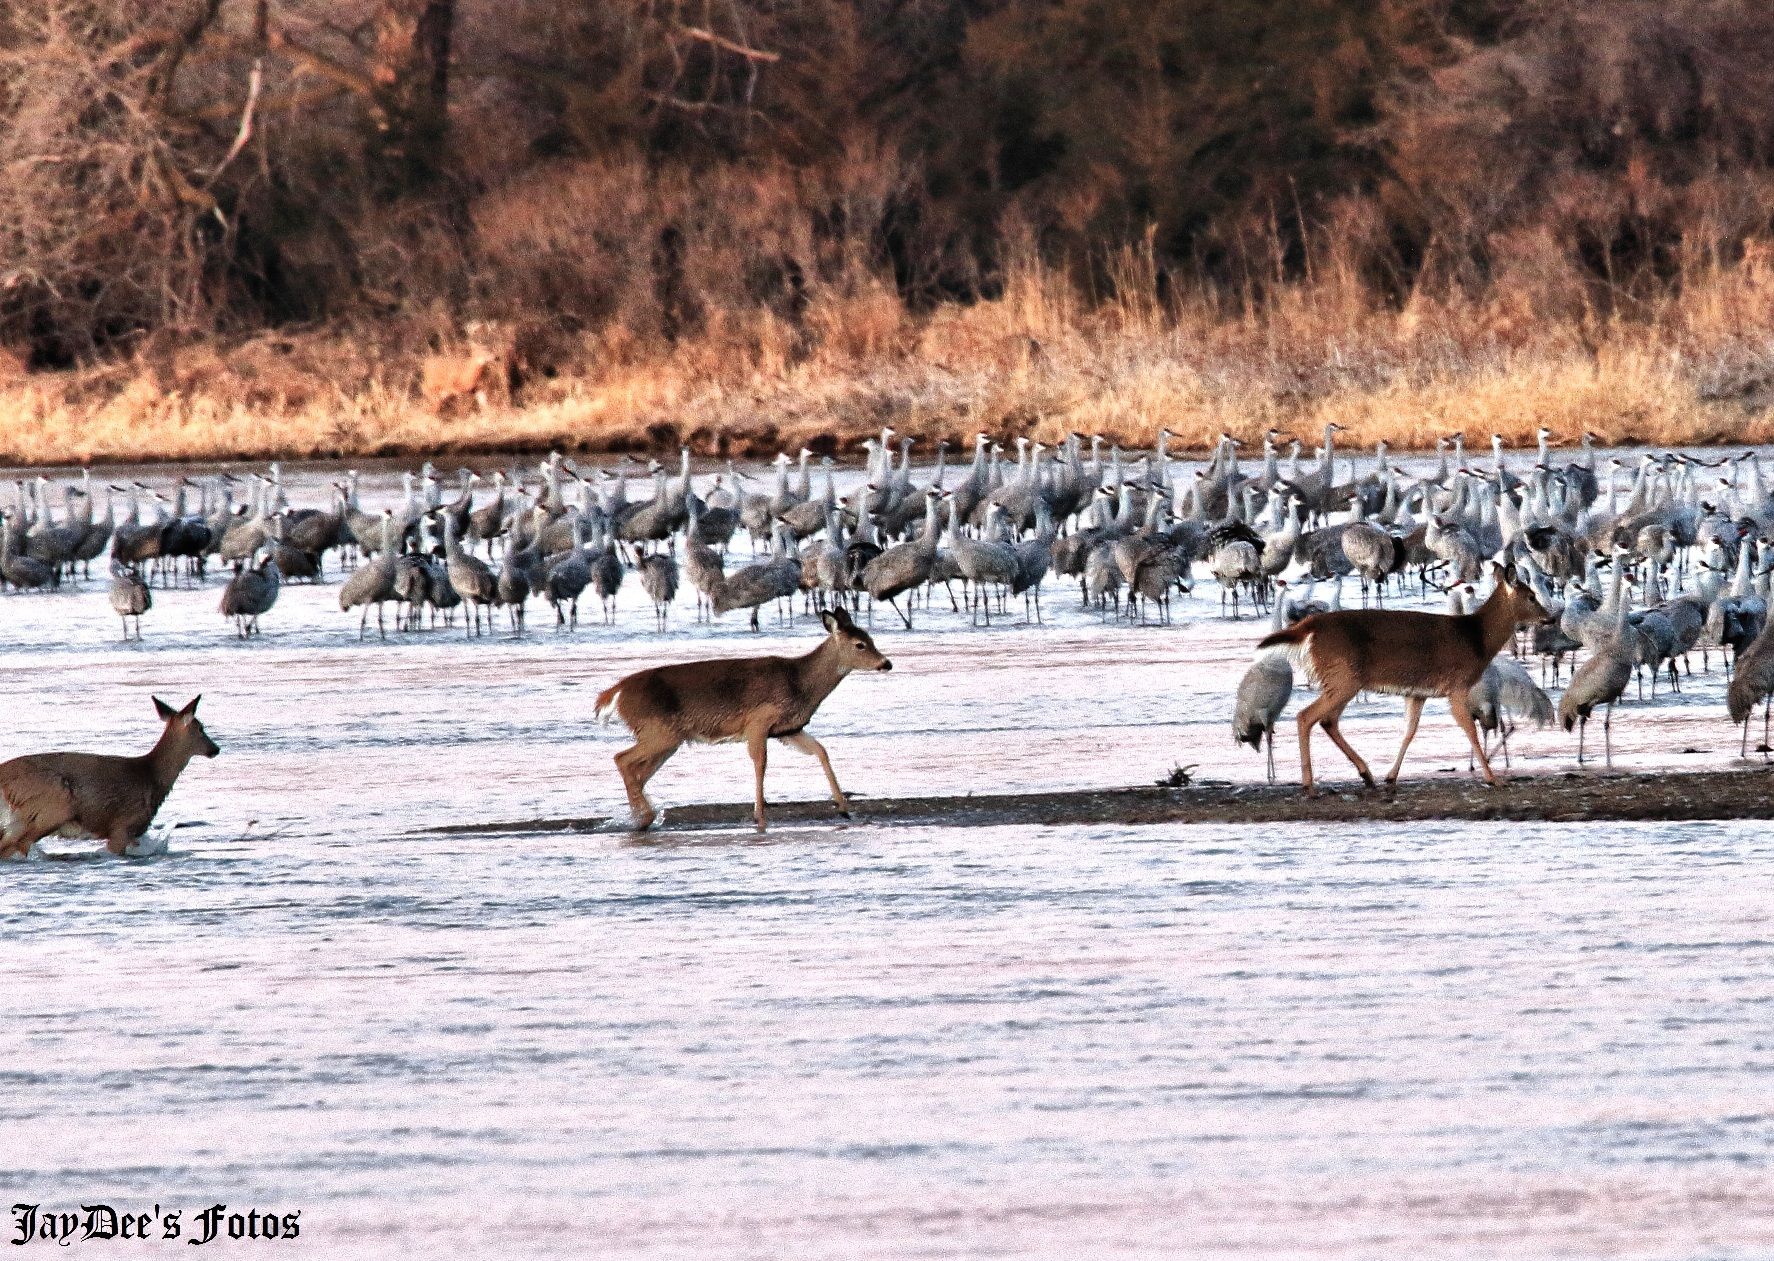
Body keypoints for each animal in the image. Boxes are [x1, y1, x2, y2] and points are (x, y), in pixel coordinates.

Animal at [596, 606, 894, 833]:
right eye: (860, 644)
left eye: (871, 637)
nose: (886, 663)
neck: (799, 683)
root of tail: (616, 693)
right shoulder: (758, 721)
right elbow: (761, 764)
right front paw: (759, 815)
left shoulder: (788, 729)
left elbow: (821, 751)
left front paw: (844, 808)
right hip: (659, 731)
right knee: (622, 759)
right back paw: (643, 818)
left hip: (665, 737)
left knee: (637, 771)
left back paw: (642, 817)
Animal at [1255, 563, 1546, 794]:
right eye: (1531, 596)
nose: (1549, 617)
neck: (1476, 638)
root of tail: (1309, 627)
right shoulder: (1457, 685)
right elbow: (1470, 731)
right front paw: (1494, 779)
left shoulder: (1417, 693)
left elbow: (1409, 731)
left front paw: (1391, 776)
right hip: (1343, 677)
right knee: (1307, 716)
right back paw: (1310, 785)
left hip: (1341, 680)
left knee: (1328, 720)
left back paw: (1366, 775)